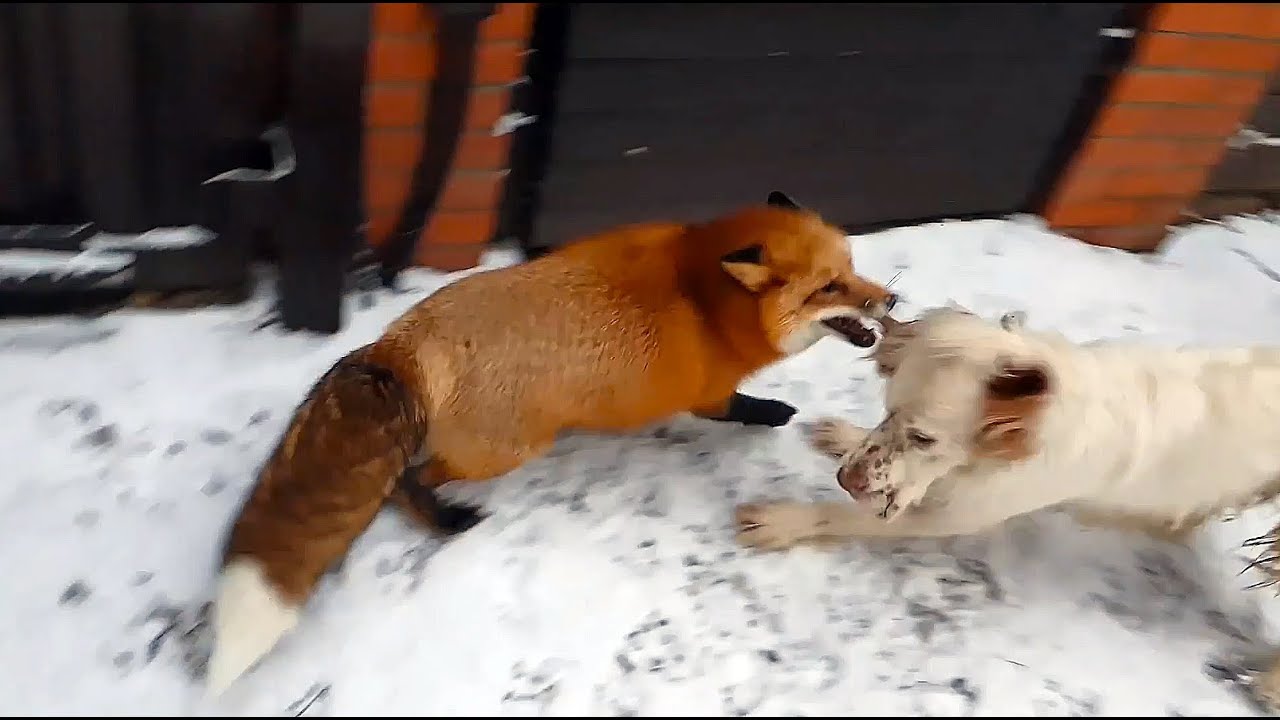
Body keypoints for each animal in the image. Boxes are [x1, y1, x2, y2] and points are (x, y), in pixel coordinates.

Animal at [206, 190, 899, 695]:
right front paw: (775, 413)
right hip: (507, 451)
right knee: (408, 480)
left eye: (851, 270)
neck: (703, 299)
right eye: (828, 287)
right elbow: (737, 410)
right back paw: (446, 521)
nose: (892, 299)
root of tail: (402, 342)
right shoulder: (705, 394)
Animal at [735, 305, 1280, 711]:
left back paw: (1266, 685)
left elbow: (848, 515)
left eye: (925, 438)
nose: (846, 480)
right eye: (888, 411)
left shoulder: (958, 510)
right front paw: (843, 437)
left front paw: (782, 520)